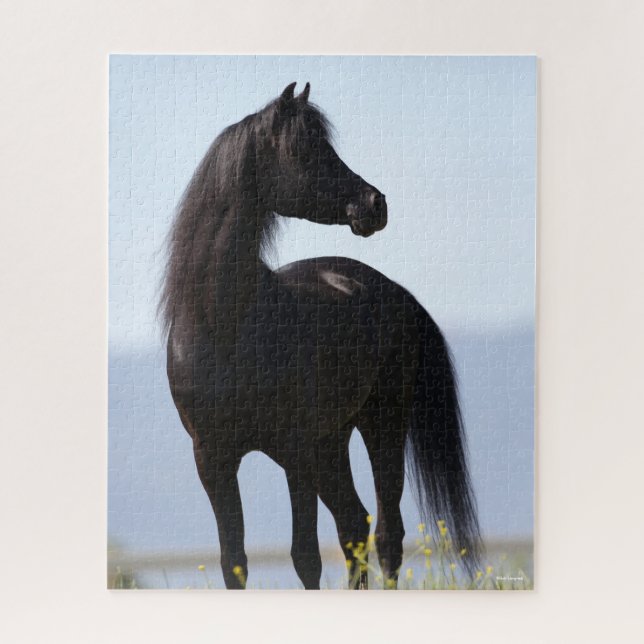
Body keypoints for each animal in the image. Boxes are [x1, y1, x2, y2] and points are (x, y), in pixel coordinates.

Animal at [159, 82, 481, 589]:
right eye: (303, 150)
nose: (374, 204)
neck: (224, 327)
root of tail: (391, 289)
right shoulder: (213, 460)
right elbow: (235, 561)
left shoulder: (294, 452)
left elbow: (305, 556)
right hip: (331, 442)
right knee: (354, 525)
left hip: (380, 424)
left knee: (386, 534)